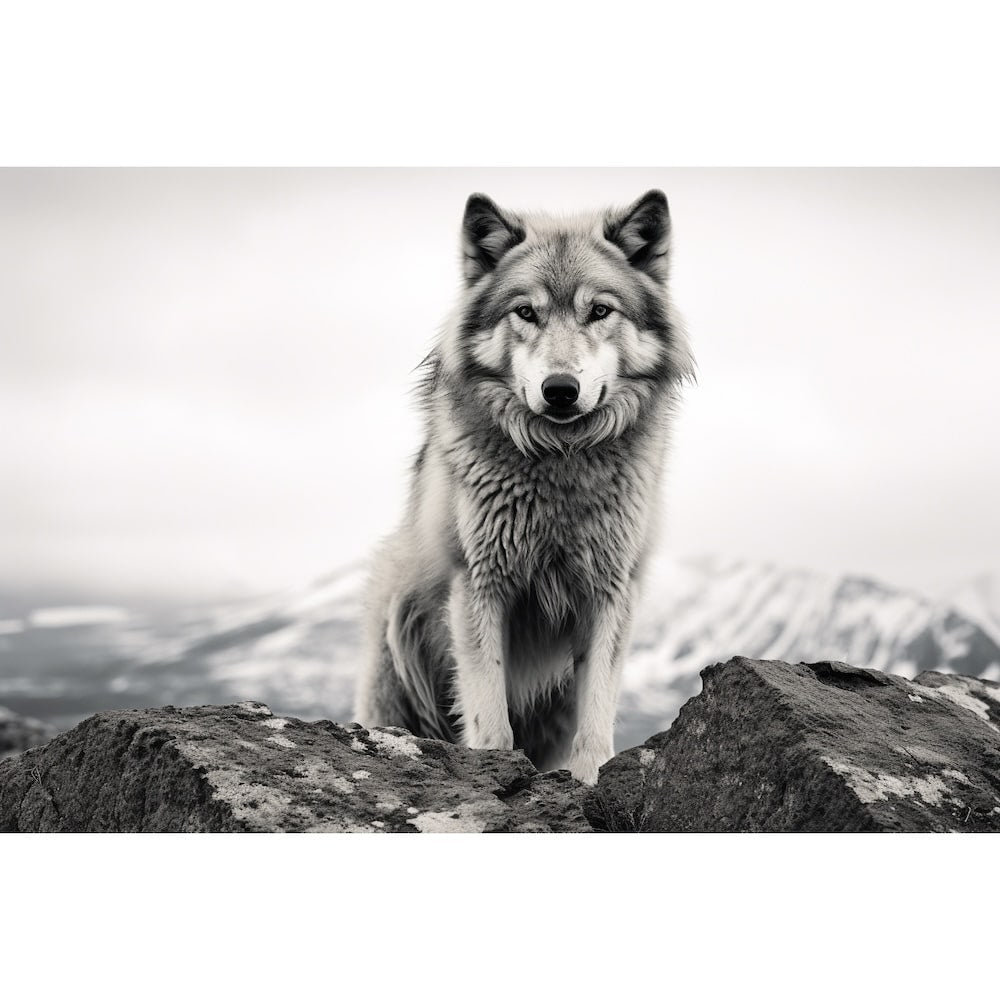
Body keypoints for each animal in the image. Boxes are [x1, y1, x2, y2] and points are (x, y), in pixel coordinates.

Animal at [354, 189, 694, 784]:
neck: (560, 464)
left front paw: (589, 778)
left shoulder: (611, 590)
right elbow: (490, 715)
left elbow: (597, 715)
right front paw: (494, 769)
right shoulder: (480, 583)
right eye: (526, 311)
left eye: (599, 311)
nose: (560, 389)